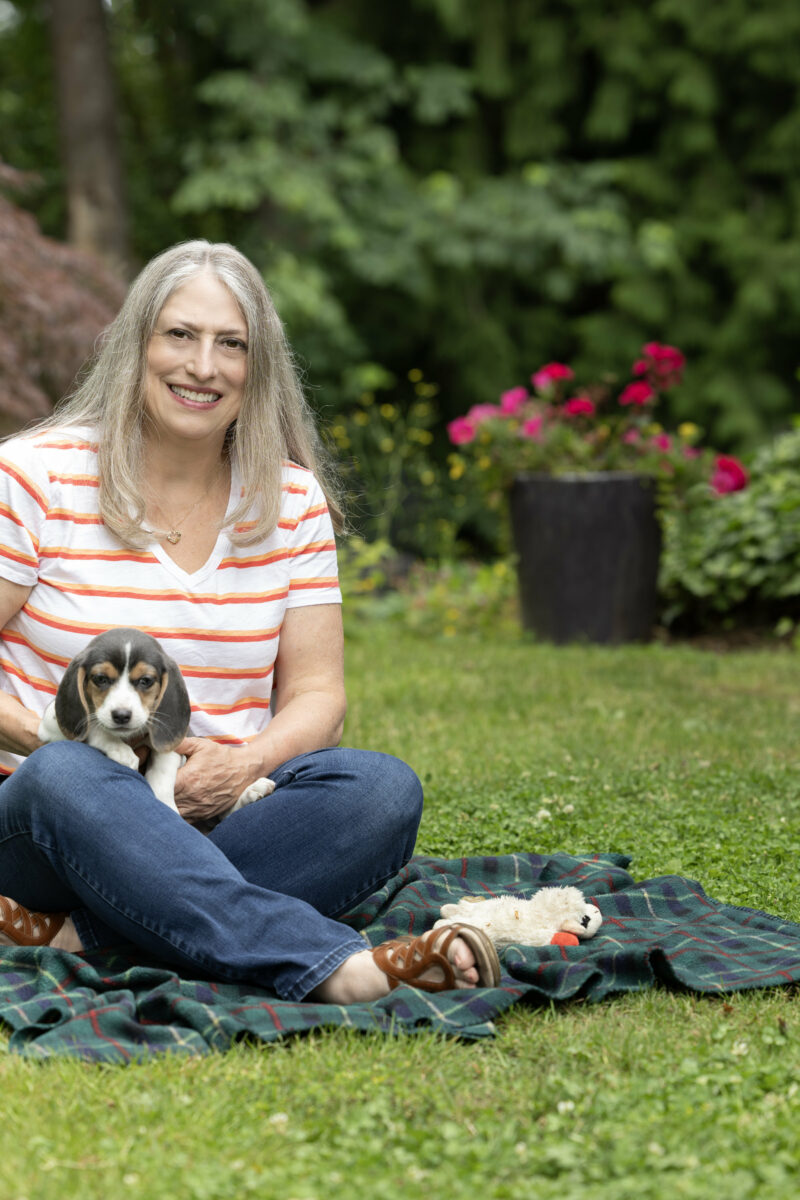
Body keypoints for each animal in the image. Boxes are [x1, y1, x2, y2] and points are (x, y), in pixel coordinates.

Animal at [36, 628, 275, 816]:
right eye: (100, 679)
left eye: (145, 681)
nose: (121, 715)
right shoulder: (50, 723)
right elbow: (94, 726)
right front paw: (121, 751)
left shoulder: (174, 744)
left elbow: (161, 774)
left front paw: (166, 807)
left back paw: (254, 790)